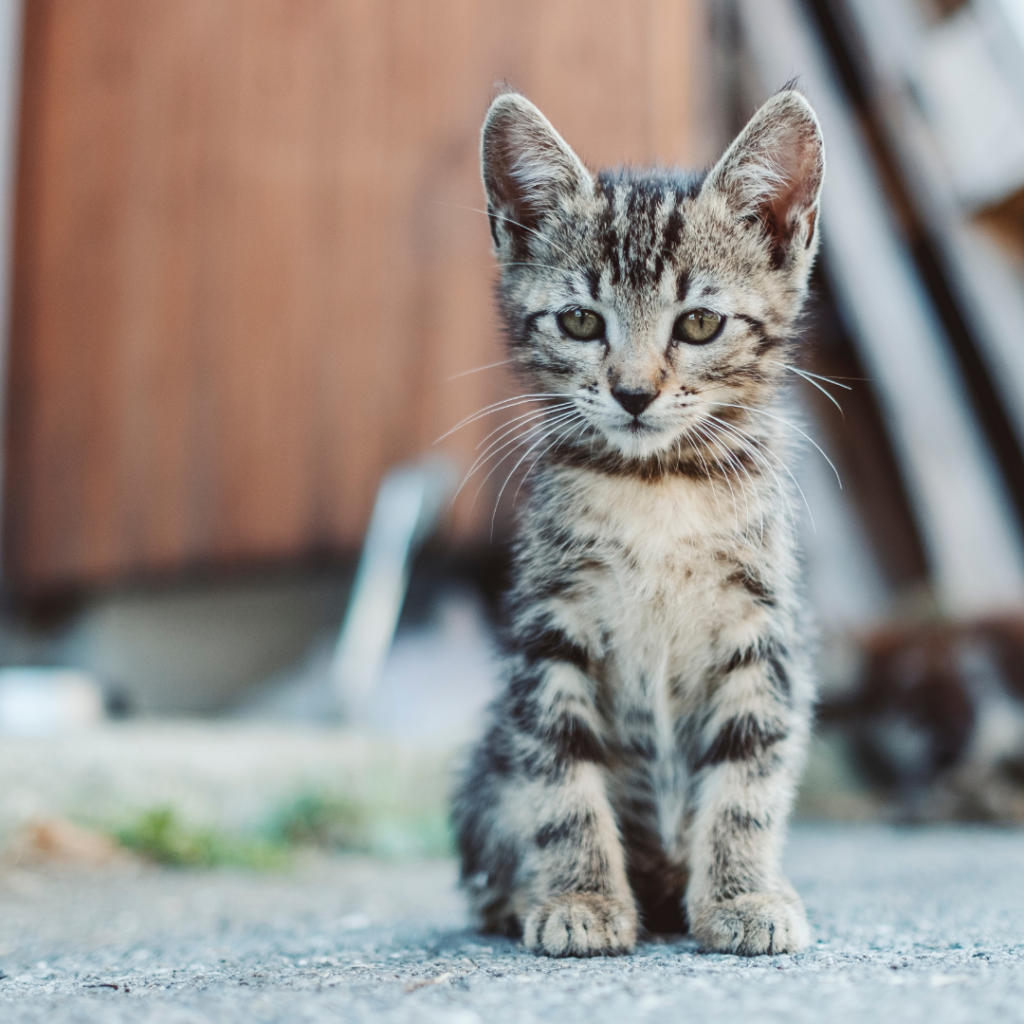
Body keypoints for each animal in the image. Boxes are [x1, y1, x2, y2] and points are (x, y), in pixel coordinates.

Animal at [456, 83, 823, 954]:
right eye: (581, 322)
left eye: (699, 324)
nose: (631, 393)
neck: (658, 483)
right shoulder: (547, 632)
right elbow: (558, 777)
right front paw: (580, 899)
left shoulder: (765, 631)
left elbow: (748, 778)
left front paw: (742, 896)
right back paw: (521, 895)